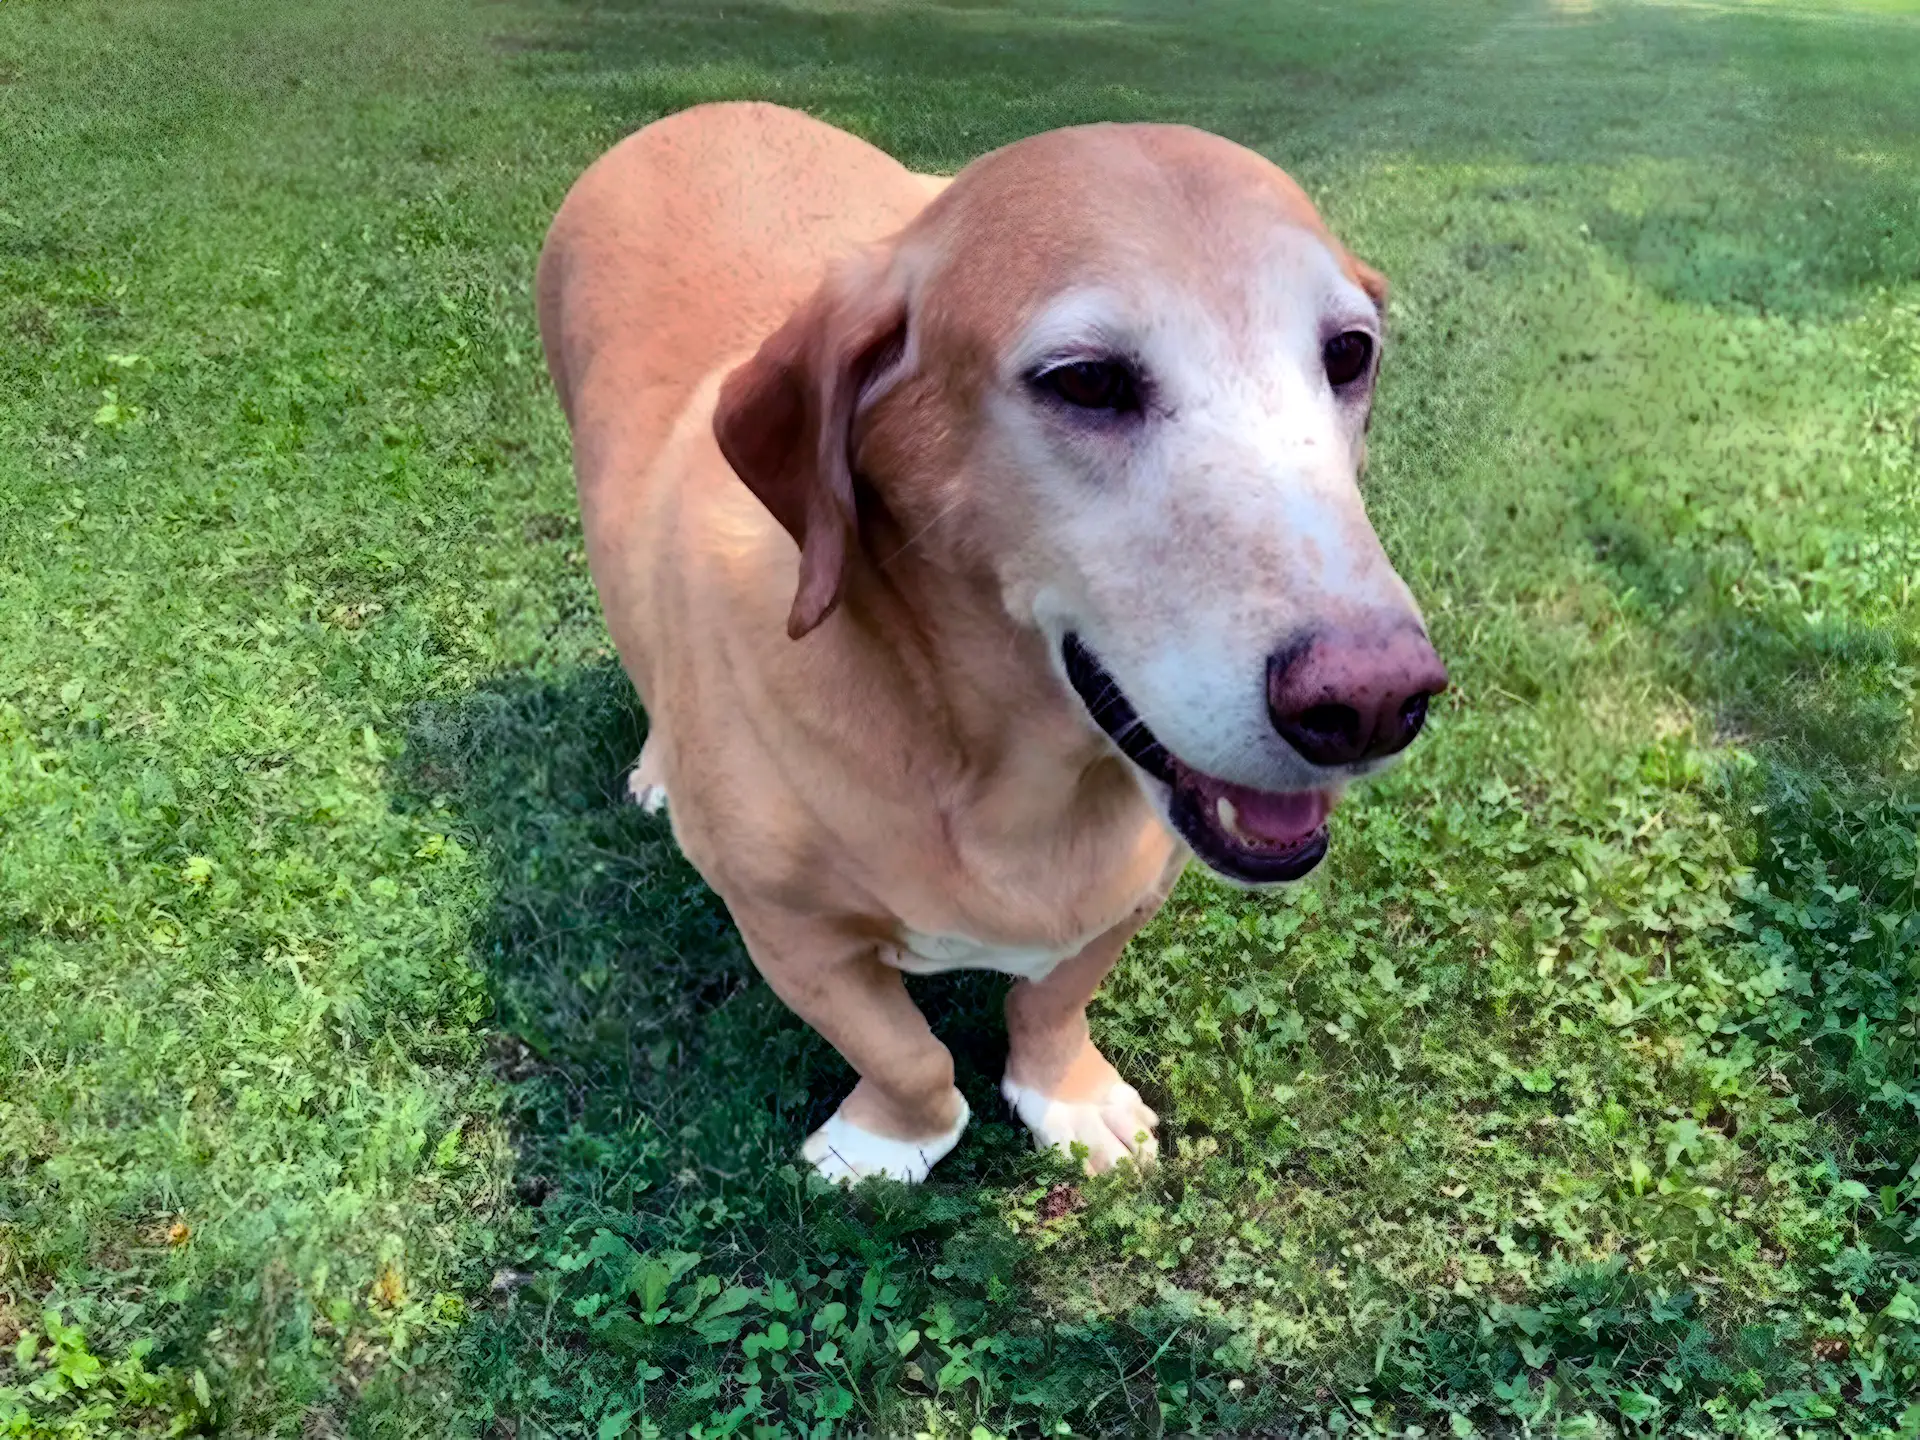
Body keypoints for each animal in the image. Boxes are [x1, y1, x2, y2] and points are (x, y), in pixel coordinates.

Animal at [537, 101, 1443, 1182]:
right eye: (1085, 381)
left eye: (1348, 353)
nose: (1376, 702)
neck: (1002, 773)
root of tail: (706, 109)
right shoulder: (788, 931)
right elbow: (905, 1054)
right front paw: (888, 1142)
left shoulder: (1131, 886)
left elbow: (1051, 999)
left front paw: (1069, 1094)